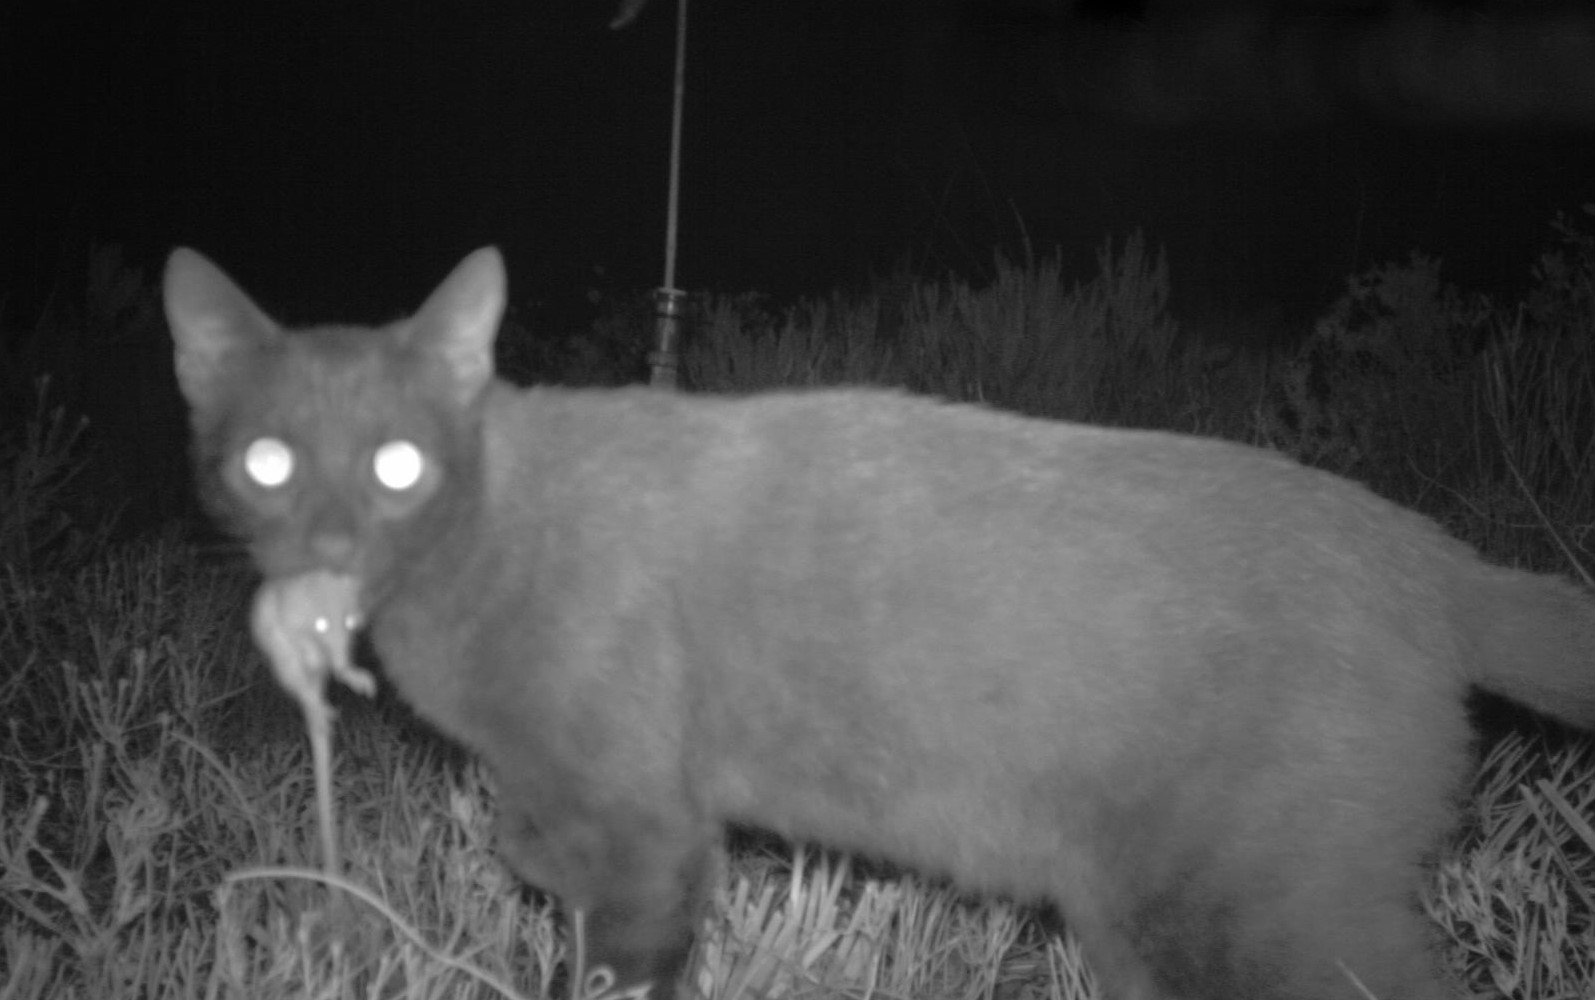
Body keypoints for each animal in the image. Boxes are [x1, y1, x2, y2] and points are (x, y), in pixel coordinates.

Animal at [161, 244, 1595, 1000]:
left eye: (399, 464)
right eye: (270, 462)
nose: (331, 544)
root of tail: (1425, 553)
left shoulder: (641, 821)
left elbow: (618, 952)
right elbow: (533, 856)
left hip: (1266, 903)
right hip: (1145, 920)